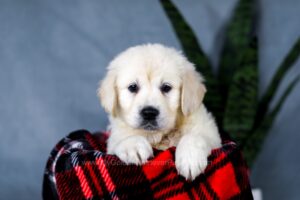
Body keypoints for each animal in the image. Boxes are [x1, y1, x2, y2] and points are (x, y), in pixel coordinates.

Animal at [98, 44, 220, 181]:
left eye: (166, 87)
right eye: (133, 87)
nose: (149, 113)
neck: (158, 136)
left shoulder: (211, 133)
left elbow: (194, 137)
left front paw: (190, 158)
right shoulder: (113, 140)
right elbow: (122, 139)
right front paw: (133, 146)